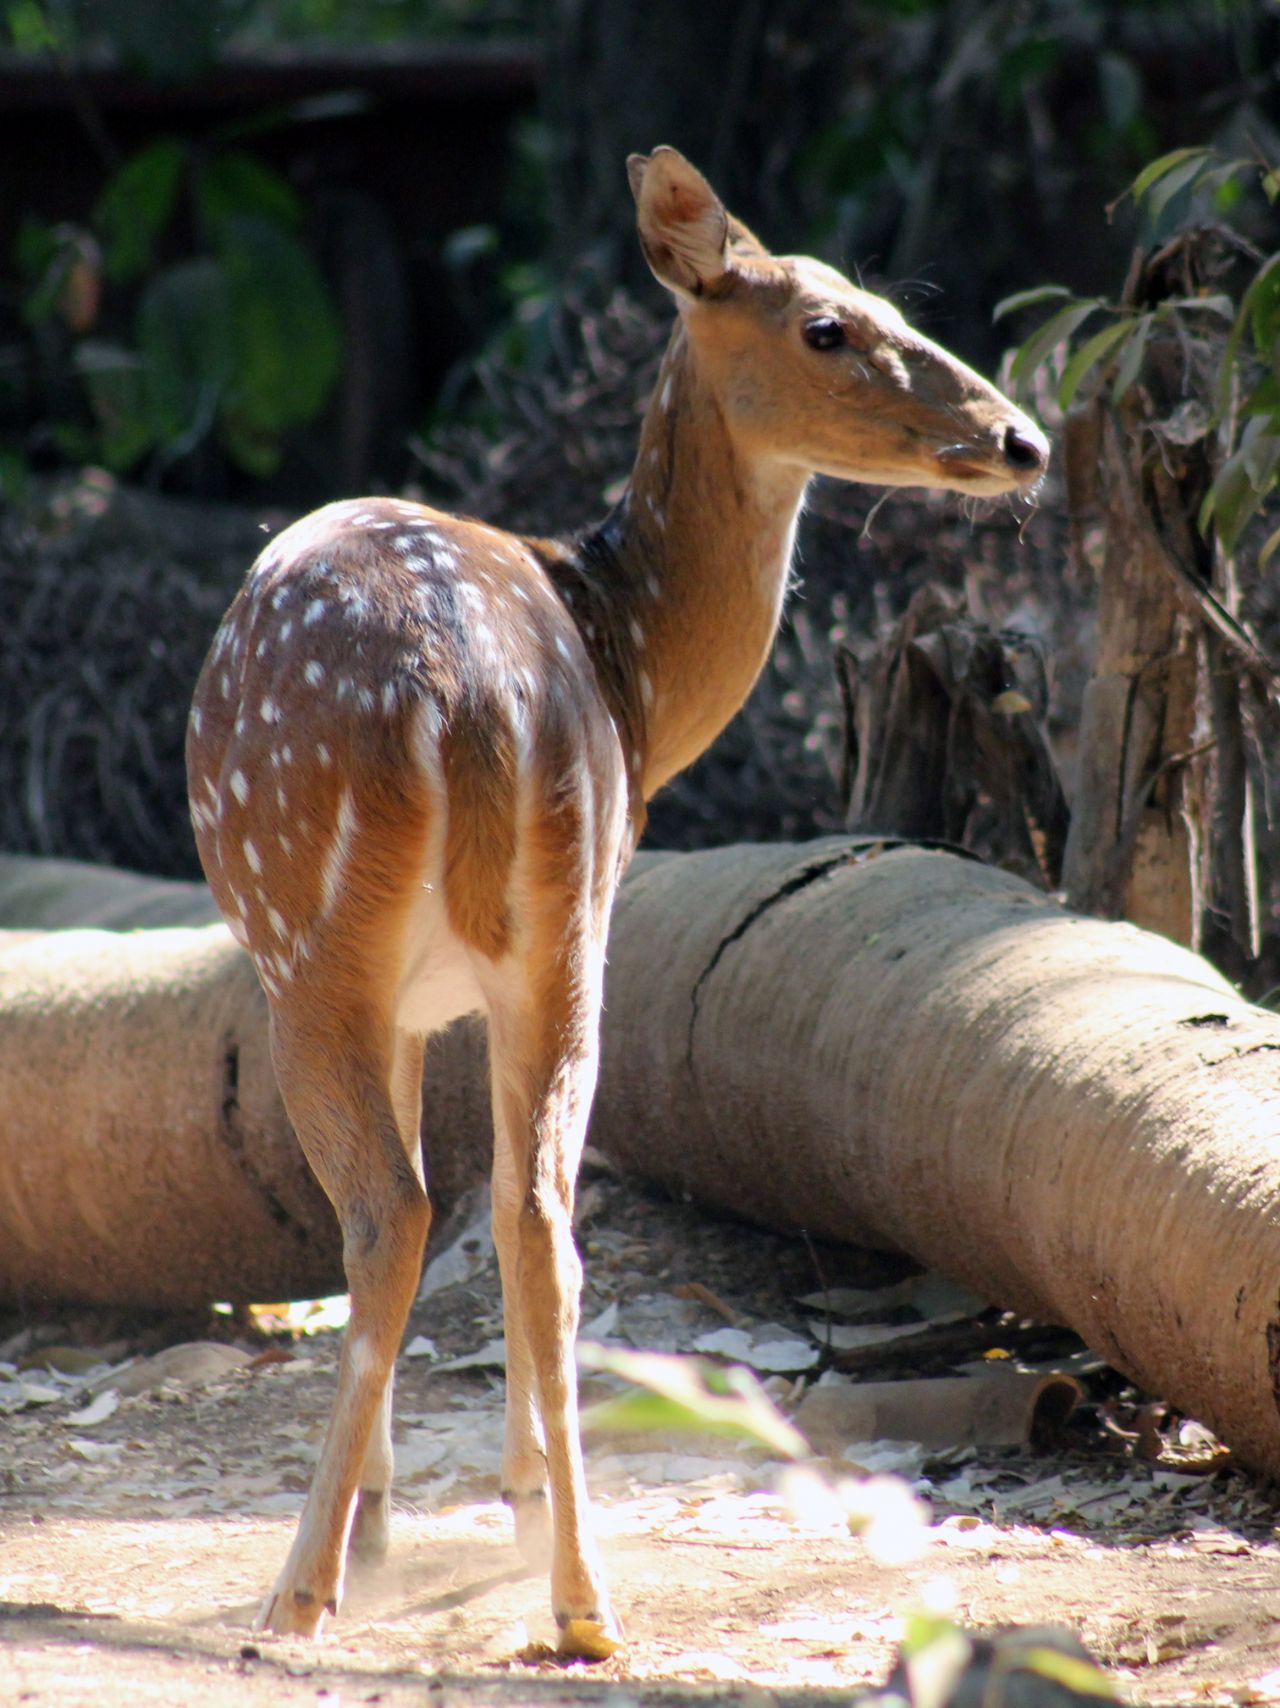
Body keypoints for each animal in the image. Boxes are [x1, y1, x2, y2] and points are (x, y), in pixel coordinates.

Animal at [187, 146, 1045, 1653]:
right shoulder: (475, 976)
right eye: (830, 324)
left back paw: (302, 1587)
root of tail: (467, 697)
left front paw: (385, 1525)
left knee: (397, 1216)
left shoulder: (407, 989)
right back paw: (578, 1596)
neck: (631, 656)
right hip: (564, 923)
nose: (1021, 442)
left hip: (310, 942)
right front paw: (472, 1510)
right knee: (539, 1215)